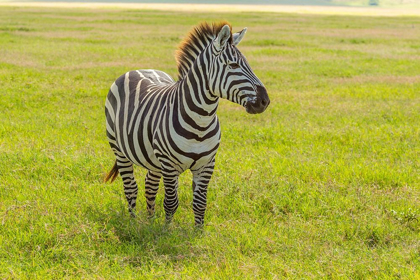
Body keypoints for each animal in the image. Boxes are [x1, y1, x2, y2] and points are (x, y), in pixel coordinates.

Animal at [104, 22, 270, 228]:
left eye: (248, 64)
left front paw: (198, 232)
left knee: (150, 186)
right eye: (233, 65)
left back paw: (150, 222)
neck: (201, 122)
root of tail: (137, 69)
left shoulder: (206, 164)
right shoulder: (169, 164)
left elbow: (200, 203)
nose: (264, 101)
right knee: (131, 187)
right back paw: (133, 222)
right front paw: (166, 231)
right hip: (119, 149)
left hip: (152, 159)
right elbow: (171, 202)